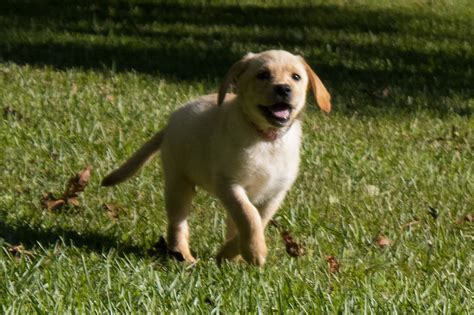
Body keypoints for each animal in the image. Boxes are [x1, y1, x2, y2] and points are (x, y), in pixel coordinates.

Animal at [102, 50, 332, 266]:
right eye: (263, 75)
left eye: (296, 77)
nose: (284, 88)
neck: (266, 139)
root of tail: (169, 125)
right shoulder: (229, 184)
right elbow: (250, 216)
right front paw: (254, 251)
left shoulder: (274, 193)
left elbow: (258, 220)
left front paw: (231, 253)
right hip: (179, 182)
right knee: (178, 222)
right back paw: (183, 255)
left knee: (231, 224)